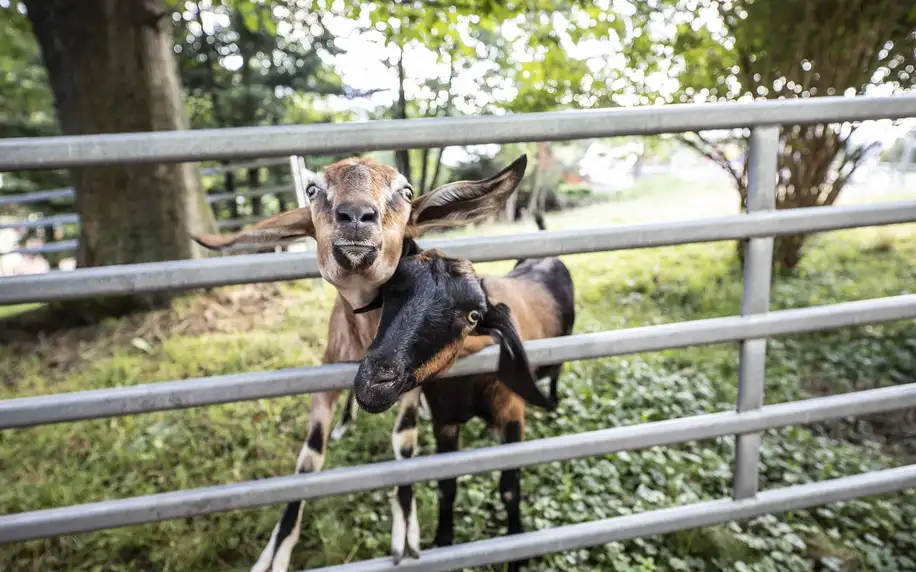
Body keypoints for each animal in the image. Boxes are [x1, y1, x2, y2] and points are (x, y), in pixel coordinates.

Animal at [191, 154, 528, 568]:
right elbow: (309, 458)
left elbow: (405, 441)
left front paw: (405, 535)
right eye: (312, 189)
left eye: (406, 191)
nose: (355, 215)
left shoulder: (408, 382)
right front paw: (274, 554)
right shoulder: (325, 374)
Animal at [354, 216, 576, 568]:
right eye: (391, 289)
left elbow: (510, 489)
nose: (375, 382)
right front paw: (443, 540)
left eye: (472, 316)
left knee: (556, 371)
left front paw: (516, 548)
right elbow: (447, 485)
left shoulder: (512, 416)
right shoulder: (444, 421)